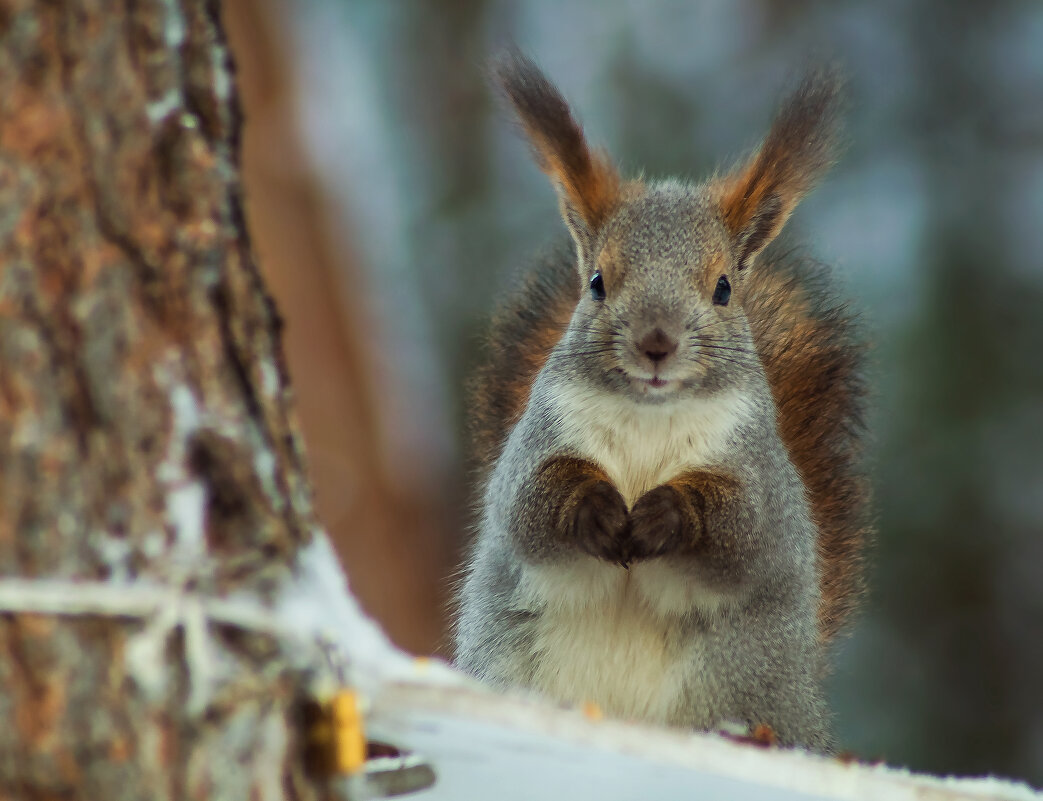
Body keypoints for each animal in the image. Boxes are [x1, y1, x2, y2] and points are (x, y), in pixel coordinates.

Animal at [452, 53, 867, 755]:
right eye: (596, 282)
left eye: (724, 288)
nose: (656, 343)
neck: (648, 418)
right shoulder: (538, 439)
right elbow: (528, 503)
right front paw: (594, 508)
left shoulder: (758, 471)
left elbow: (743, 527)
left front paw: (666, 515)